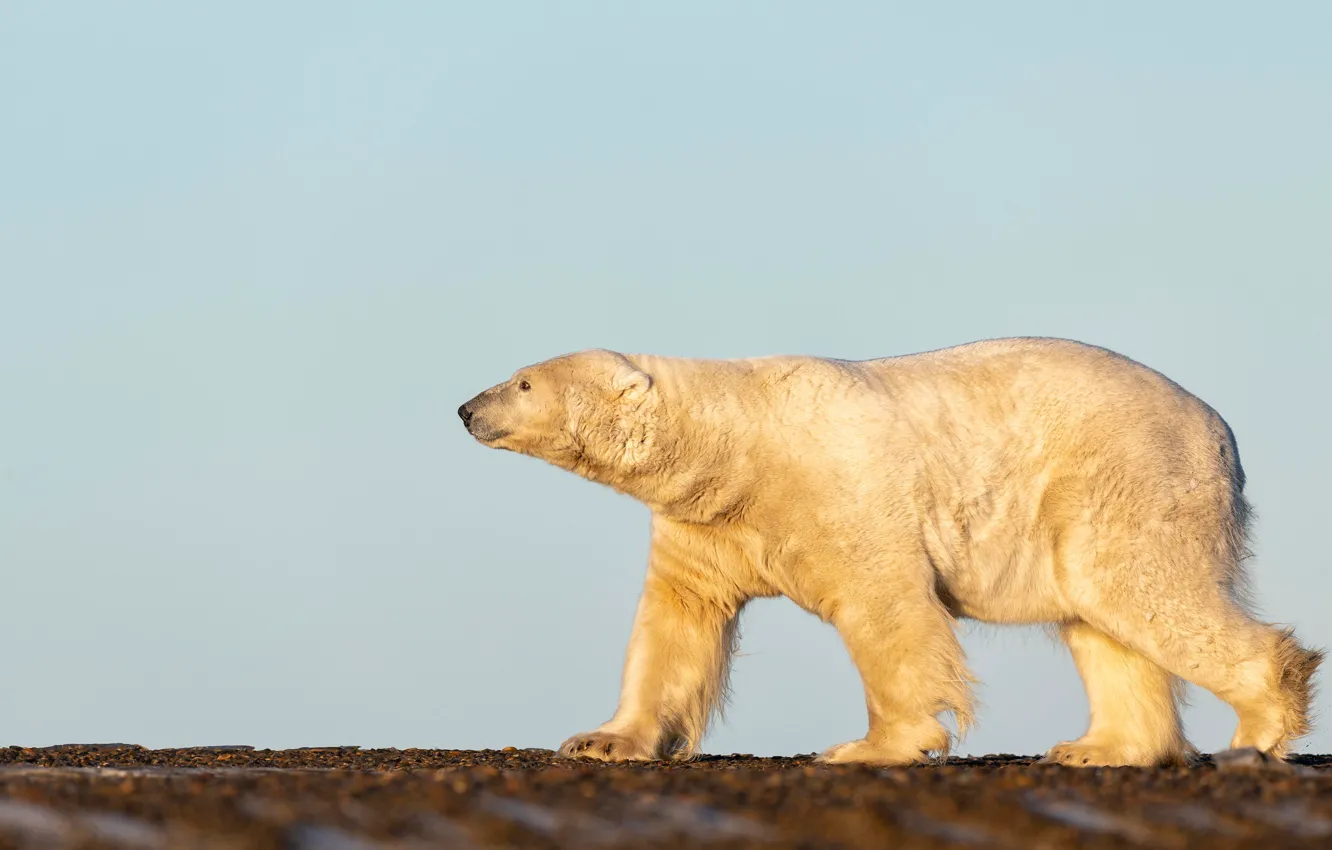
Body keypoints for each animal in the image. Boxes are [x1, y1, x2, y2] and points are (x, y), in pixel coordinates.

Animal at [458, 341, 1321, 772]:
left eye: (524, 381)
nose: (466, 407)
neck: (736, 443)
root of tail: (1220, 431)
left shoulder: (838, 489)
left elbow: (886, 610)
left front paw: (869, 747)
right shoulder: (708, 525)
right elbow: (676, 623)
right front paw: (602, 739)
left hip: (1127, 476)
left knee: (1139, 590)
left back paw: (1257, 728)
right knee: (1100, 619)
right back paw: (1098, 749)